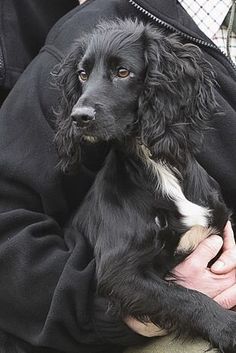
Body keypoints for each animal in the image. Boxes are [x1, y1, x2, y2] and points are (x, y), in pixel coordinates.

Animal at [54, 20, 235, 352]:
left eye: (123, 72)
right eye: (83, 74)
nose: (78, 117)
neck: (156, 166)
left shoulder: (216, 233)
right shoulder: (118, 272)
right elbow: (185, 298)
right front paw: (228, 328)